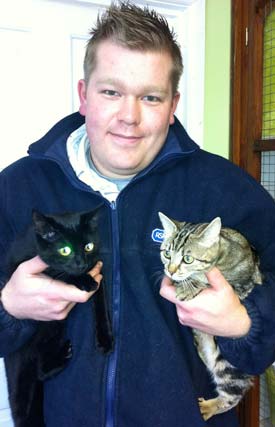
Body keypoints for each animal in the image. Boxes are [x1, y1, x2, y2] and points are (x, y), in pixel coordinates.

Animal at [3, 210, 113, 427]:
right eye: (65, 250)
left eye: (88, 246)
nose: (81, 264)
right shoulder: (19, 265)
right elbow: (58, 273)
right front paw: (81, 279)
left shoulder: (98, 269)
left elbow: (101, 301)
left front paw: (105, 339)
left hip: (54, 331)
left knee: (40, 371)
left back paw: (61, 357)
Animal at [160, 212, 264, 420]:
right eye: (167, 254)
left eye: (188, 259)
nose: (171, 270)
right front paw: (180, 281)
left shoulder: (243, 285)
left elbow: (204, 280)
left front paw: (189, 285)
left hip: (229, 365)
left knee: (232, 395)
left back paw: (208, 407)